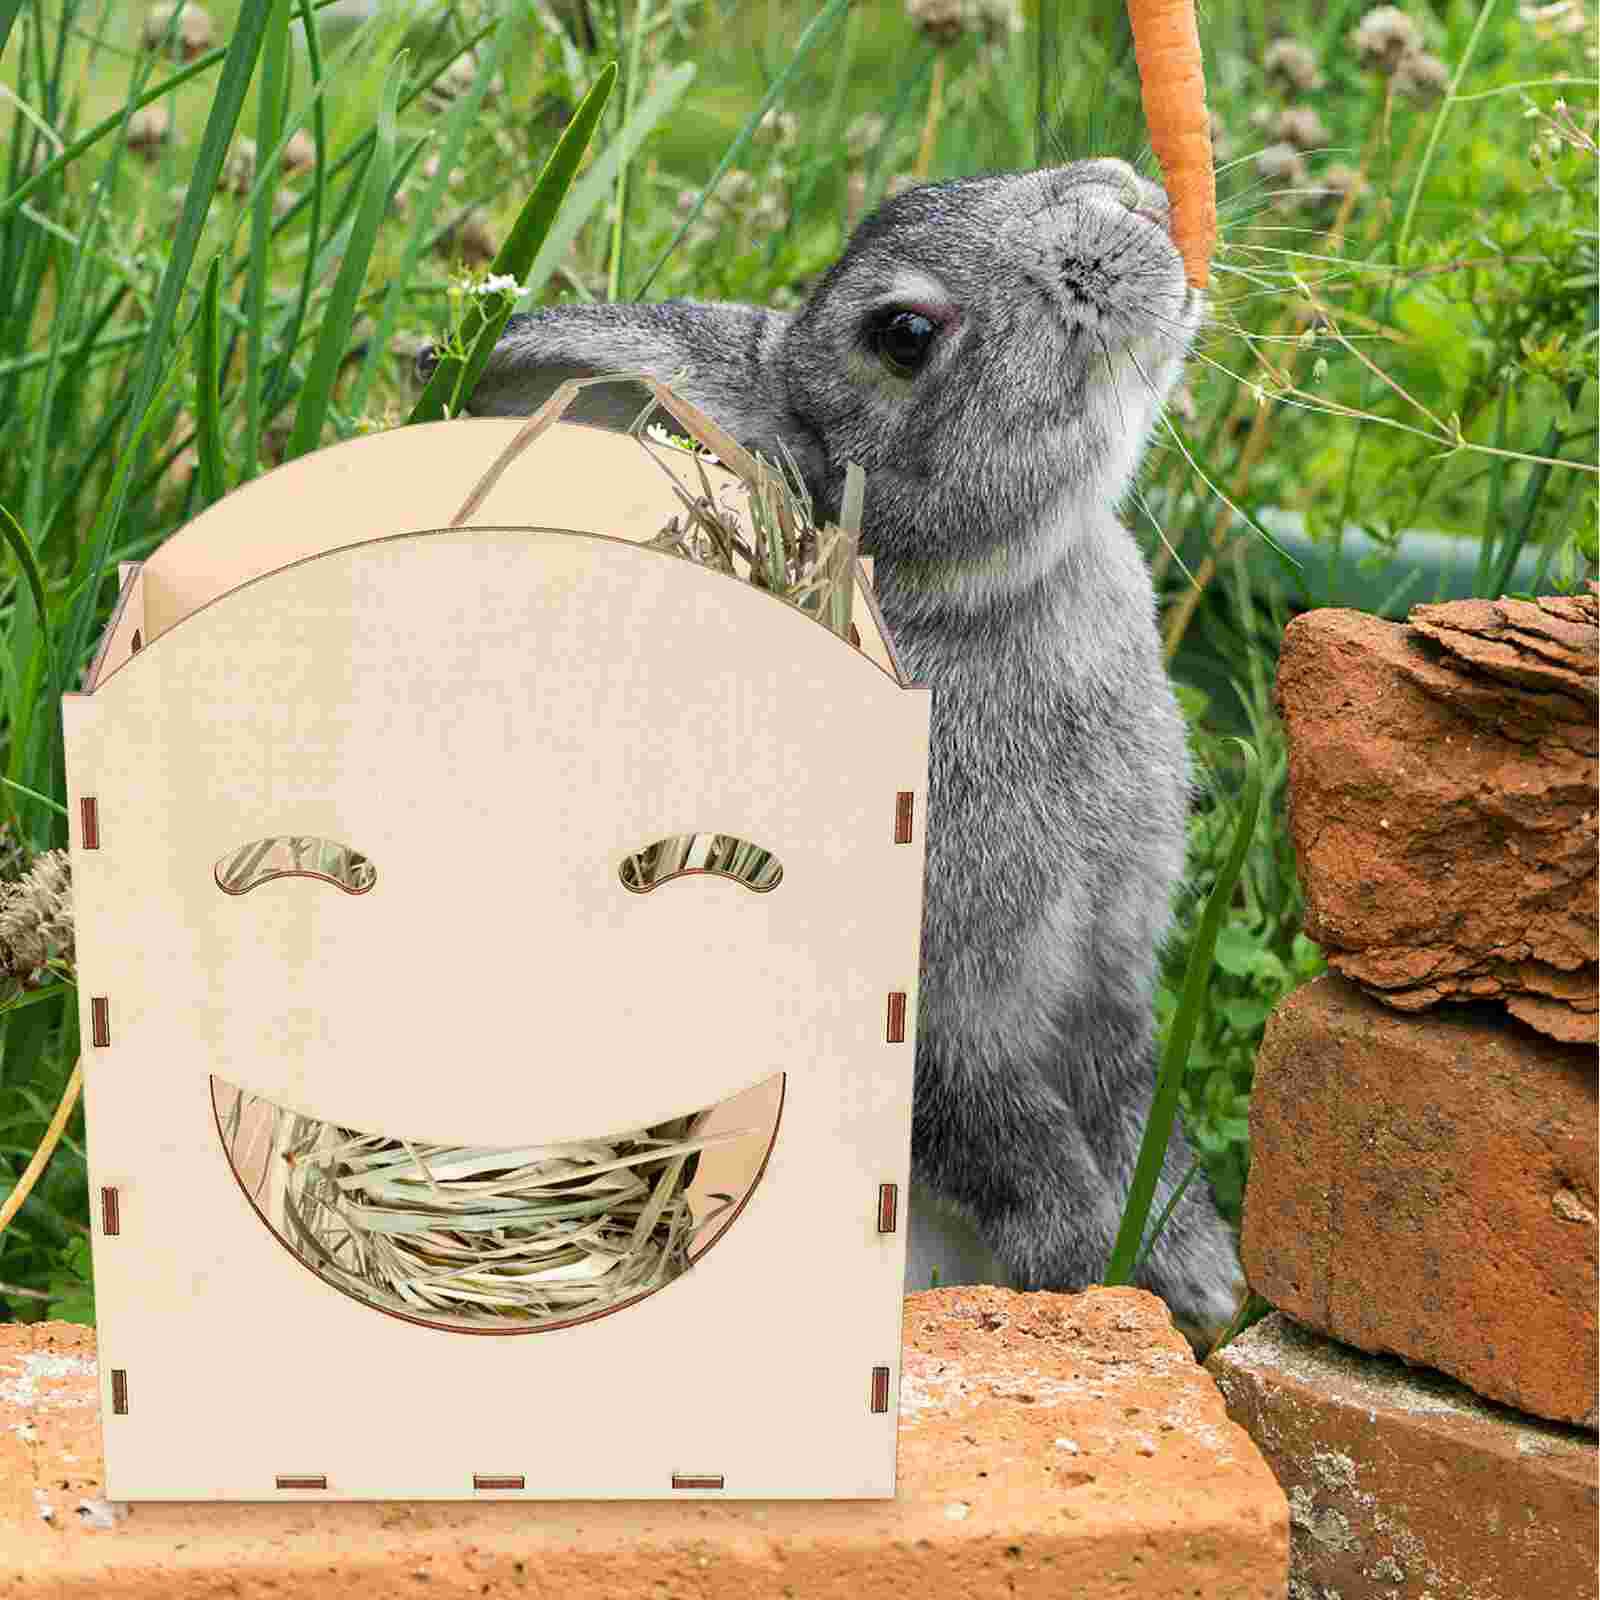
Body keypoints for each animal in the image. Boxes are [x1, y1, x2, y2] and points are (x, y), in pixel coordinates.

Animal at [419, 156, 1247, 1351]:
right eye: (902, 334)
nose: (1126, 196)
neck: (992, 590)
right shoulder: (937, 1011)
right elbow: (1004, 1140)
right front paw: (1091, 1271)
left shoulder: (1109, 980)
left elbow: (1138, 1109)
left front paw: (1201, 1279)